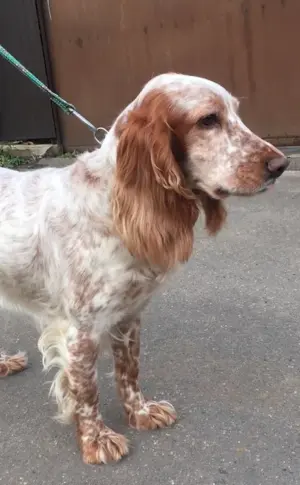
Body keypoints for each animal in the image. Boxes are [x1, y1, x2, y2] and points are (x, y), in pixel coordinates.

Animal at [0, 72, 288, 462]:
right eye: (208, 120)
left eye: (236, 114)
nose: (281, 165)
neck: (113, 205)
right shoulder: (79, 330)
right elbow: (86, 389)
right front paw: (96, 440)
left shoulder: (129, 314)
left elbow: (129, 370)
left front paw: (140, 413)